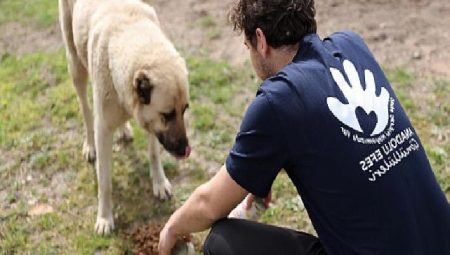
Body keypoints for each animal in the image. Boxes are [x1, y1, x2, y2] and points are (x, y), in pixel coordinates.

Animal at [57, 0, 190, 235]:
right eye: (167, 114)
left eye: (184, 110)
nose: (185, 150)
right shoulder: (104, 130)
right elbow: (104, 182)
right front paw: (104, 218)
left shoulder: (151, 124)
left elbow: (154, 154)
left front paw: (159, 183)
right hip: (76, 68)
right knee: (86, 111)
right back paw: (89, 146)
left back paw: (124, 129)